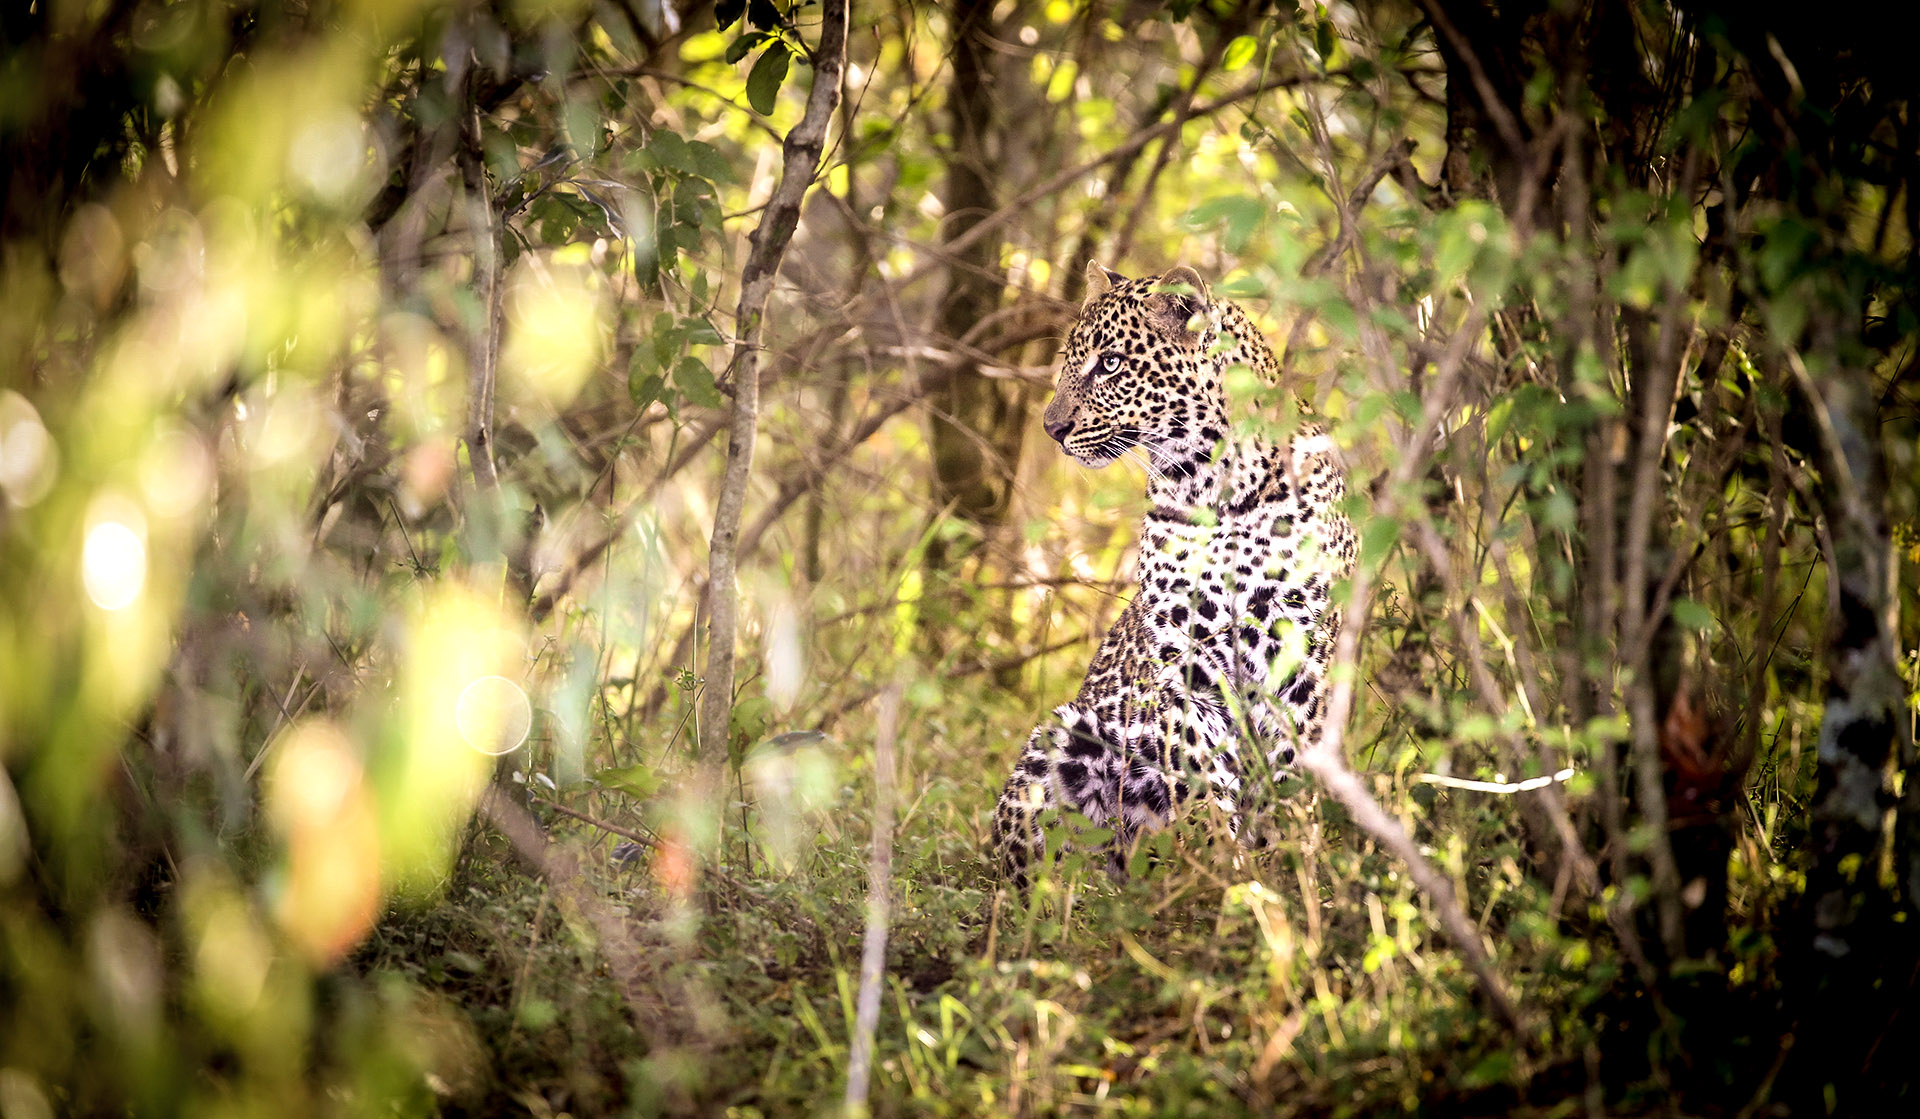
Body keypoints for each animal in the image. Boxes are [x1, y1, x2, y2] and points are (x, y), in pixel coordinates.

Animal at [992, 261, 1358, 886]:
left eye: (1111, 363)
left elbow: (1289, 781)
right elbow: (1201, 779)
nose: (1051, 427)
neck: (1221, 490)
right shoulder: (1187, 669)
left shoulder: (1301, 662)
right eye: (1068, 359)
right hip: (1066, 737)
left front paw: (1286, 872)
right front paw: (1226, 877)